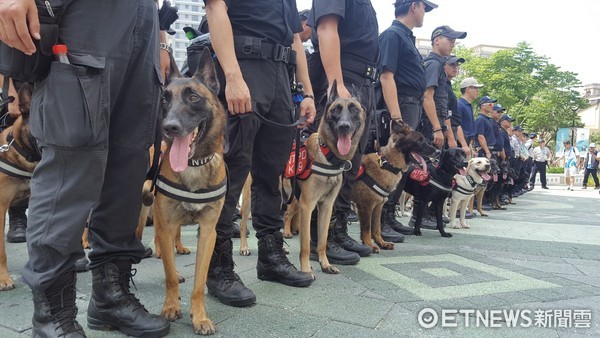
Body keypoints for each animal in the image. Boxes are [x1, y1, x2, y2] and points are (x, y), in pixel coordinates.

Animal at [150, 48, 225, 336]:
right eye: (164, 99)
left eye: (193, 97)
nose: (169, 127)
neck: (193, 165)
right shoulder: (166, 223)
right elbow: (170, 275)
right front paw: (171, 306)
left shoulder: (208, 232)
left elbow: (199, 283)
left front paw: (199, 316)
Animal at [292, 81, 366, 278]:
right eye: (336, 109)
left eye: (354, 109)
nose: (344, 126)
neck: (327, 156)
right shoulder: (307, 206)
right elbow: (305, 244)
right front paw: (306, 270)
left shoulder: (326, 206)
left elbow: (323, 240)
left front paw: (325, 264)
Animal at [350, 120, 434, 252]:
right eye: (420, 140)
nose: (438, 151)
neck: (387, 164)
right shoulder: (366, 206)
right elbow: (367, 228)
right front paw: (369, 245)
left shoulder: (378, 206)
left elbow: (376, 228)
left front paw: (381, 242)